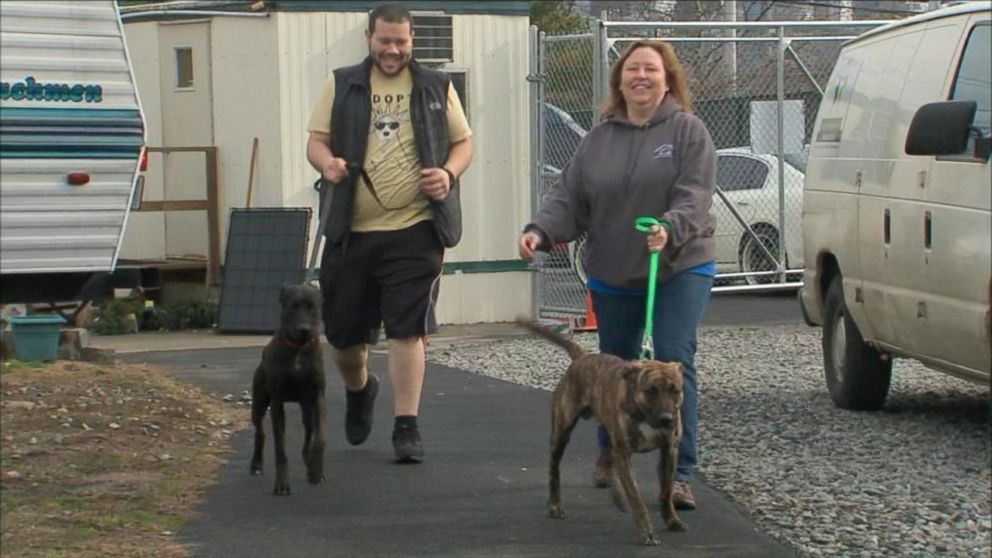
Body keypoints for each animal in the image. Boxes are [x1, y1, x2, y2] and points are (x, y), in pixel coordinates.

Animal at [250, 286, 328, 496]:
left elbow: (320, 440)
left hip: (307, 409)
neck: (298, 350)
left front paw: (317, 472)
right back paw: (256, 465)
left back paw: (310, 466)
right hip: (258, 404)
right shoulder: (277, 402)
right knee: (260, 432)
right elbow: (280, 449)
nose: (304, 329)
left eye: (312, 307)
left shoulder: (318, 397)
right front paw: (282, 484)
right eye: (293, 306)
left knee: (308, 435)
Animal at [516, 320, 684, 548]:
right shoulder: (624, 452)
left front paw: (672, 519)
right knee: (554, 469)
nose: (667, 419)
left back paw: (617, 496)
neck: (644, 415)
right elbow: (637, 498)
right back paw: (555, 505)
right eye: (650, 390)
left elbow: (666, 491)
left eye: (675, 390)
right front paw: (647, 531)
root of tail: (581, 358)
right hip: (561, 433)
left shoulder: (669, 451)